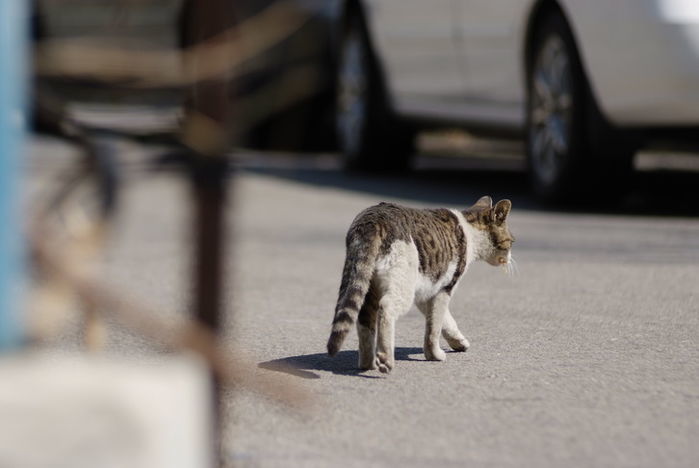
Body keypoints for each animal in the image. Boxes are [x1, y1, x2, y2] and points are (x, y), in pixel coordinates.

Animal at [326, 196, 516, 374]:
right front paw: (434, 355)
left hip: (369, 284)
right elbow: (434, 327)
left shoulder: (427, 292)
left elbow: (446, 321)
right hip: (402, 285)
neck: (470, 231)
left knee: (365, 320)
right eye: (511, 242)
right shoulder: (444, 289)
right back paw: (385, 358)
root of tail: (372, 220)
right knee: (386, 309)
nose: (510, 258)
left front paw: (458, 342)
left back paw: (367, 363)